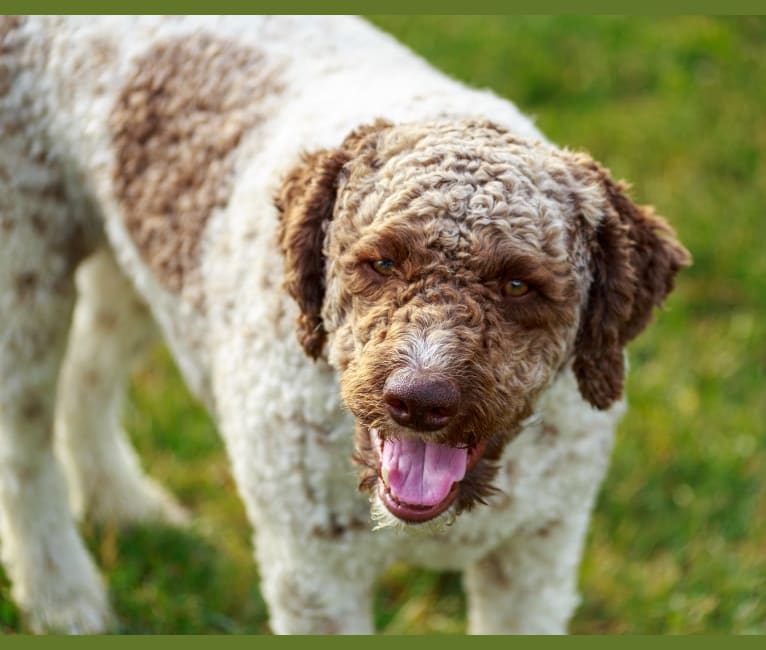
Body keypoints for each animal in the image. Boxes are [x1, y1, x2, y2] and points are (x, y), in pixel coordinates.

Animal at [0, 16, 692, 632]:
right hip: (25, 270)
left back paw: (123, 504)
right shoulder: (313, 573)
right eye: (381, 261)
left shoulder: (537, 559)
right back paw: (62, 594)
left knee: (88, 373)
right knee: (25, 447)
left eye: (519, 284)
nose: (420, 400)